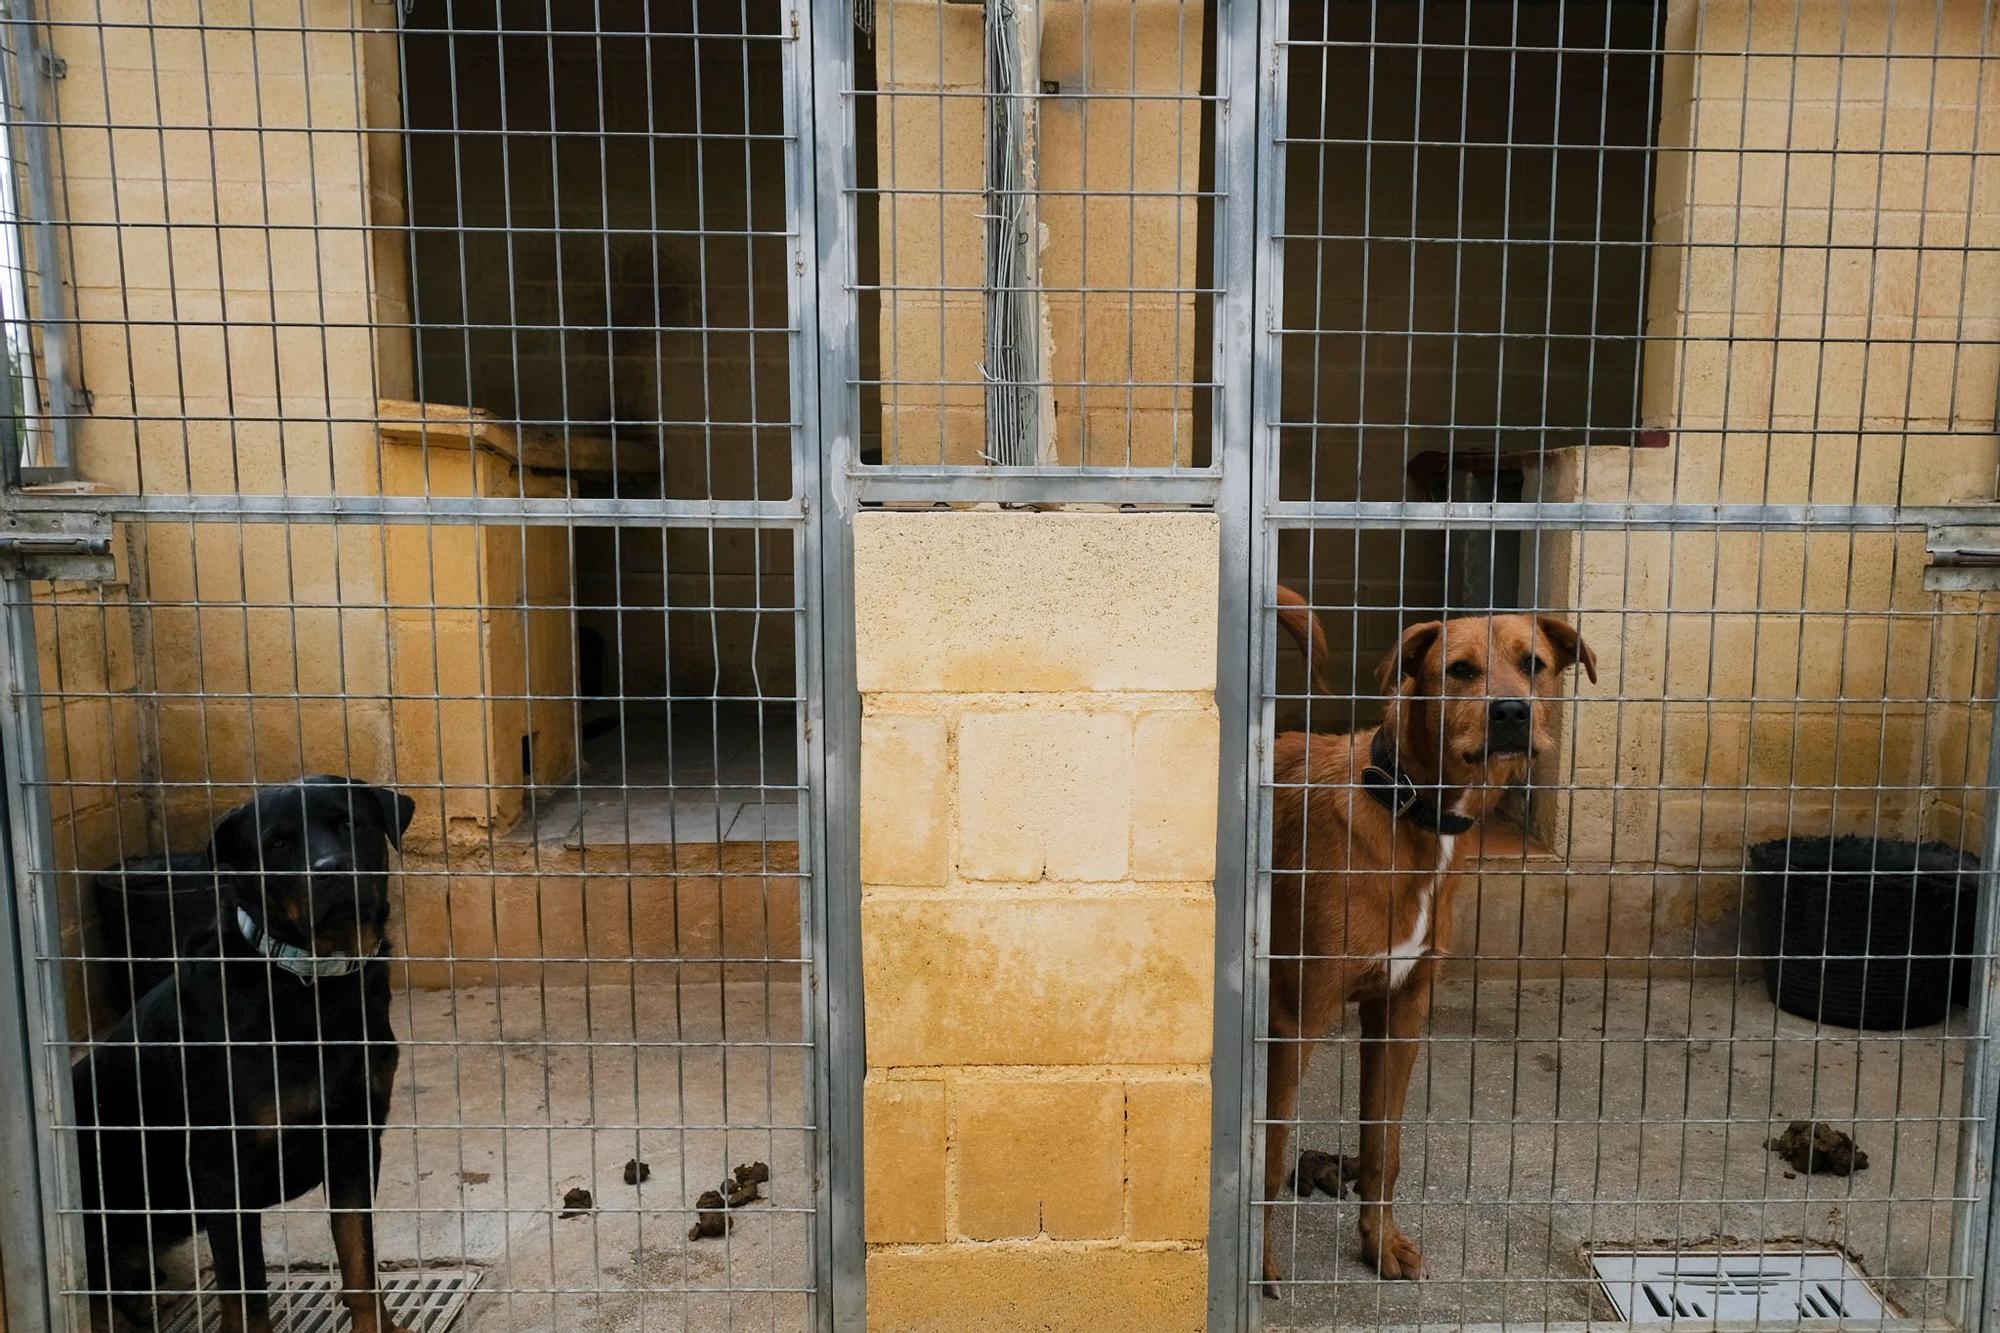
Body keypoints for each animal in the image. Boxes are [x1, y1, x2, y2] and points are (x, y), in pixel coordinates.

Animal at [71, 772, 414, 1320]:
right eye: (277, 843)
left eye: (350, 824)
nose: (331, 871)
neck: (314, 987)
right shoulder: (222, 1175)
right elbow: (247, 1296)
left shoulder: (354, 1142)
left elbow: (361, 1263)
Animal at [1256, 584, 1600, 1288]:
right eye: (1459, 669)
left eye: (1534, 664)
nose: (1511, 712)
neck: (1407, 808)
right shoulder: (1293, 1020)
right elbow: (1272, 1158)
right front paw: (1265, 1267)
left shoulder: (1400, 1014)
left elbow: (1383, 1147)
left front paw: (1378, 1243)